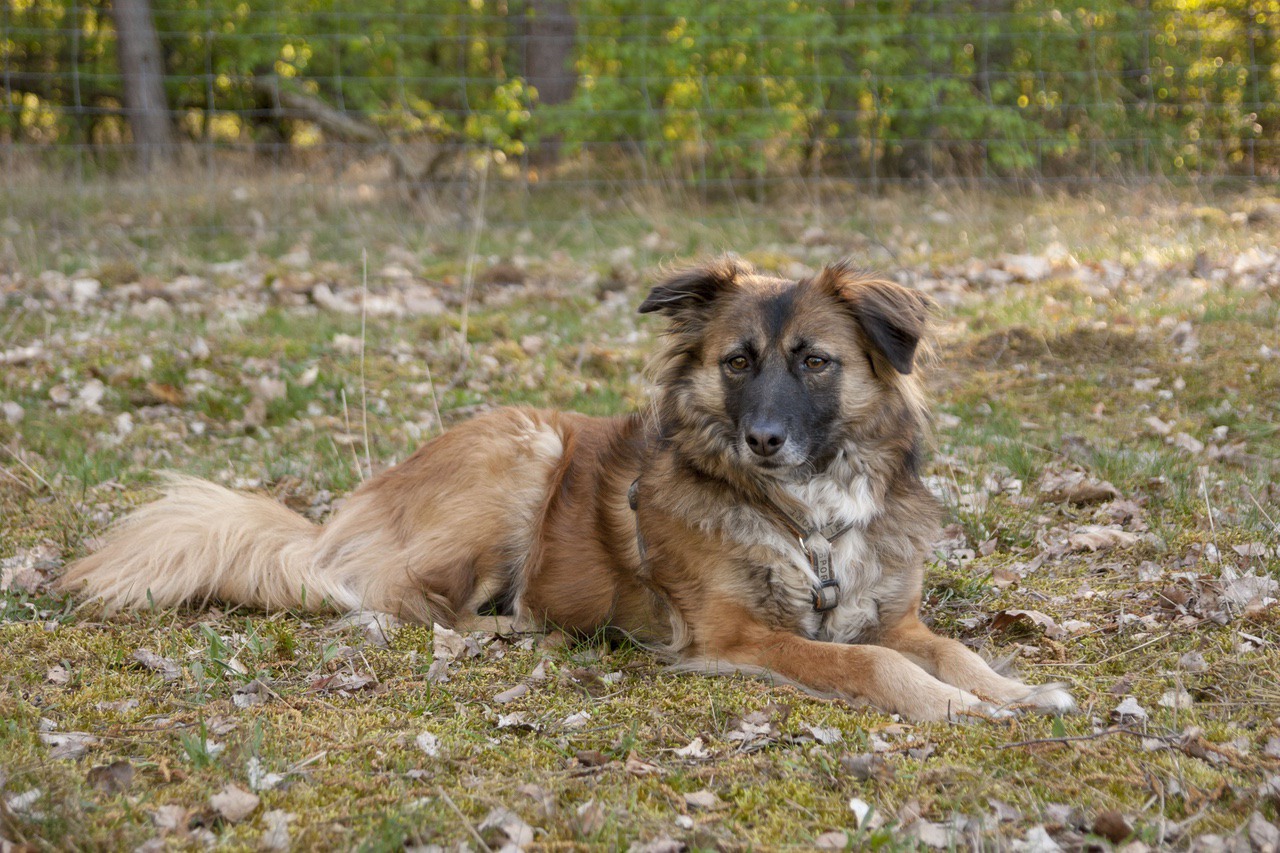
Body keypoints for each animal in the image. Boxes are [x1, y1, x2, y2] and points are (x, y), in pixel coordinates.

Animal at [59, 258, 1074, 722]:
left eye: (815, 361)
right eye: (738, 362)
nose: (763, 440)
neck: (809, 518)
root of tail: (345, 513)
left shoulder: (892, 613)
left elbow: (950, 649)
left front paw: (1017, 689)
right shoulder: (739, 635)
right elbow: (874, 666)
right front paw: (956, 708)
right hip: (526, 448)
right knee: (398, 598)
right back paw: (504, 628)